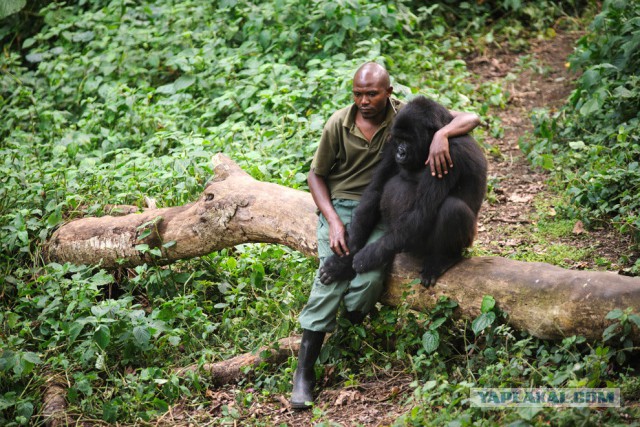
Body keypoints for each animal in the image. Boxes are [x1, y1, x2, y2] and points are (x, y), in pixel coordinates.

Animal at [318, 97, 488, 288]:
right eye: (399, 140)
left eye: (408, 140)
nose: (400, 152)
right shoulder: (390, 144)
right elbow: (376, 190)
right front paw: (343, 261)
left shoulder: (449, 151)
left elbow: (422, 210)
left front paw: (367, 257)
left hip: (463, 242)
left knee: (453, 208)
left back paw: (444, 258)